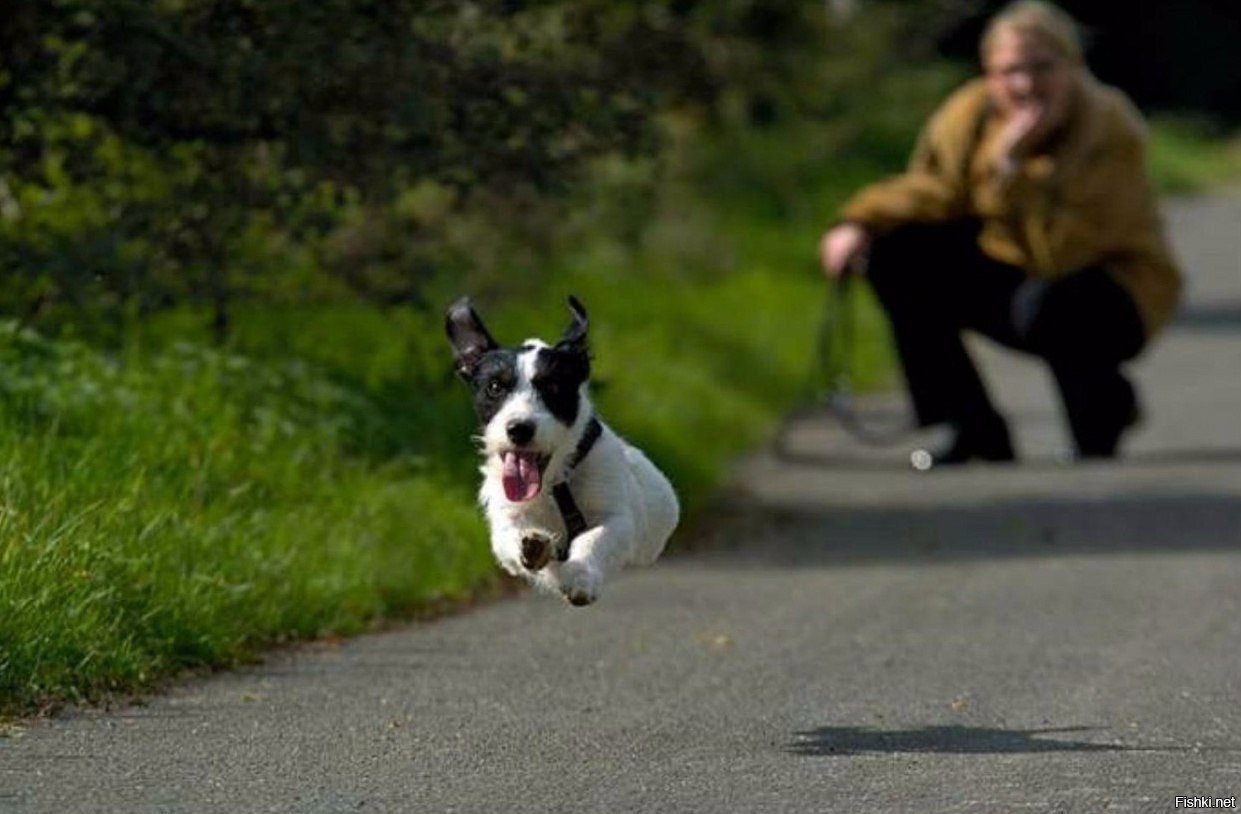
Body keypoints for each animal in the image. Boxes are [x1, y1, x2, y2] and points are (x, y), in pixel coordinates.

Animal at [444, 295, 680, 608]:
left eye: (553, 387)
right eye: (495, 387)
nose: (519, 428)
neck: (555, 482)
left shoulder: (616, 516)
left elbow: (594, 539)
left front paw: (580, 578)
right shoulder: (506, 514)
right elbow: (510, 537)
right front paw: (533, 546)